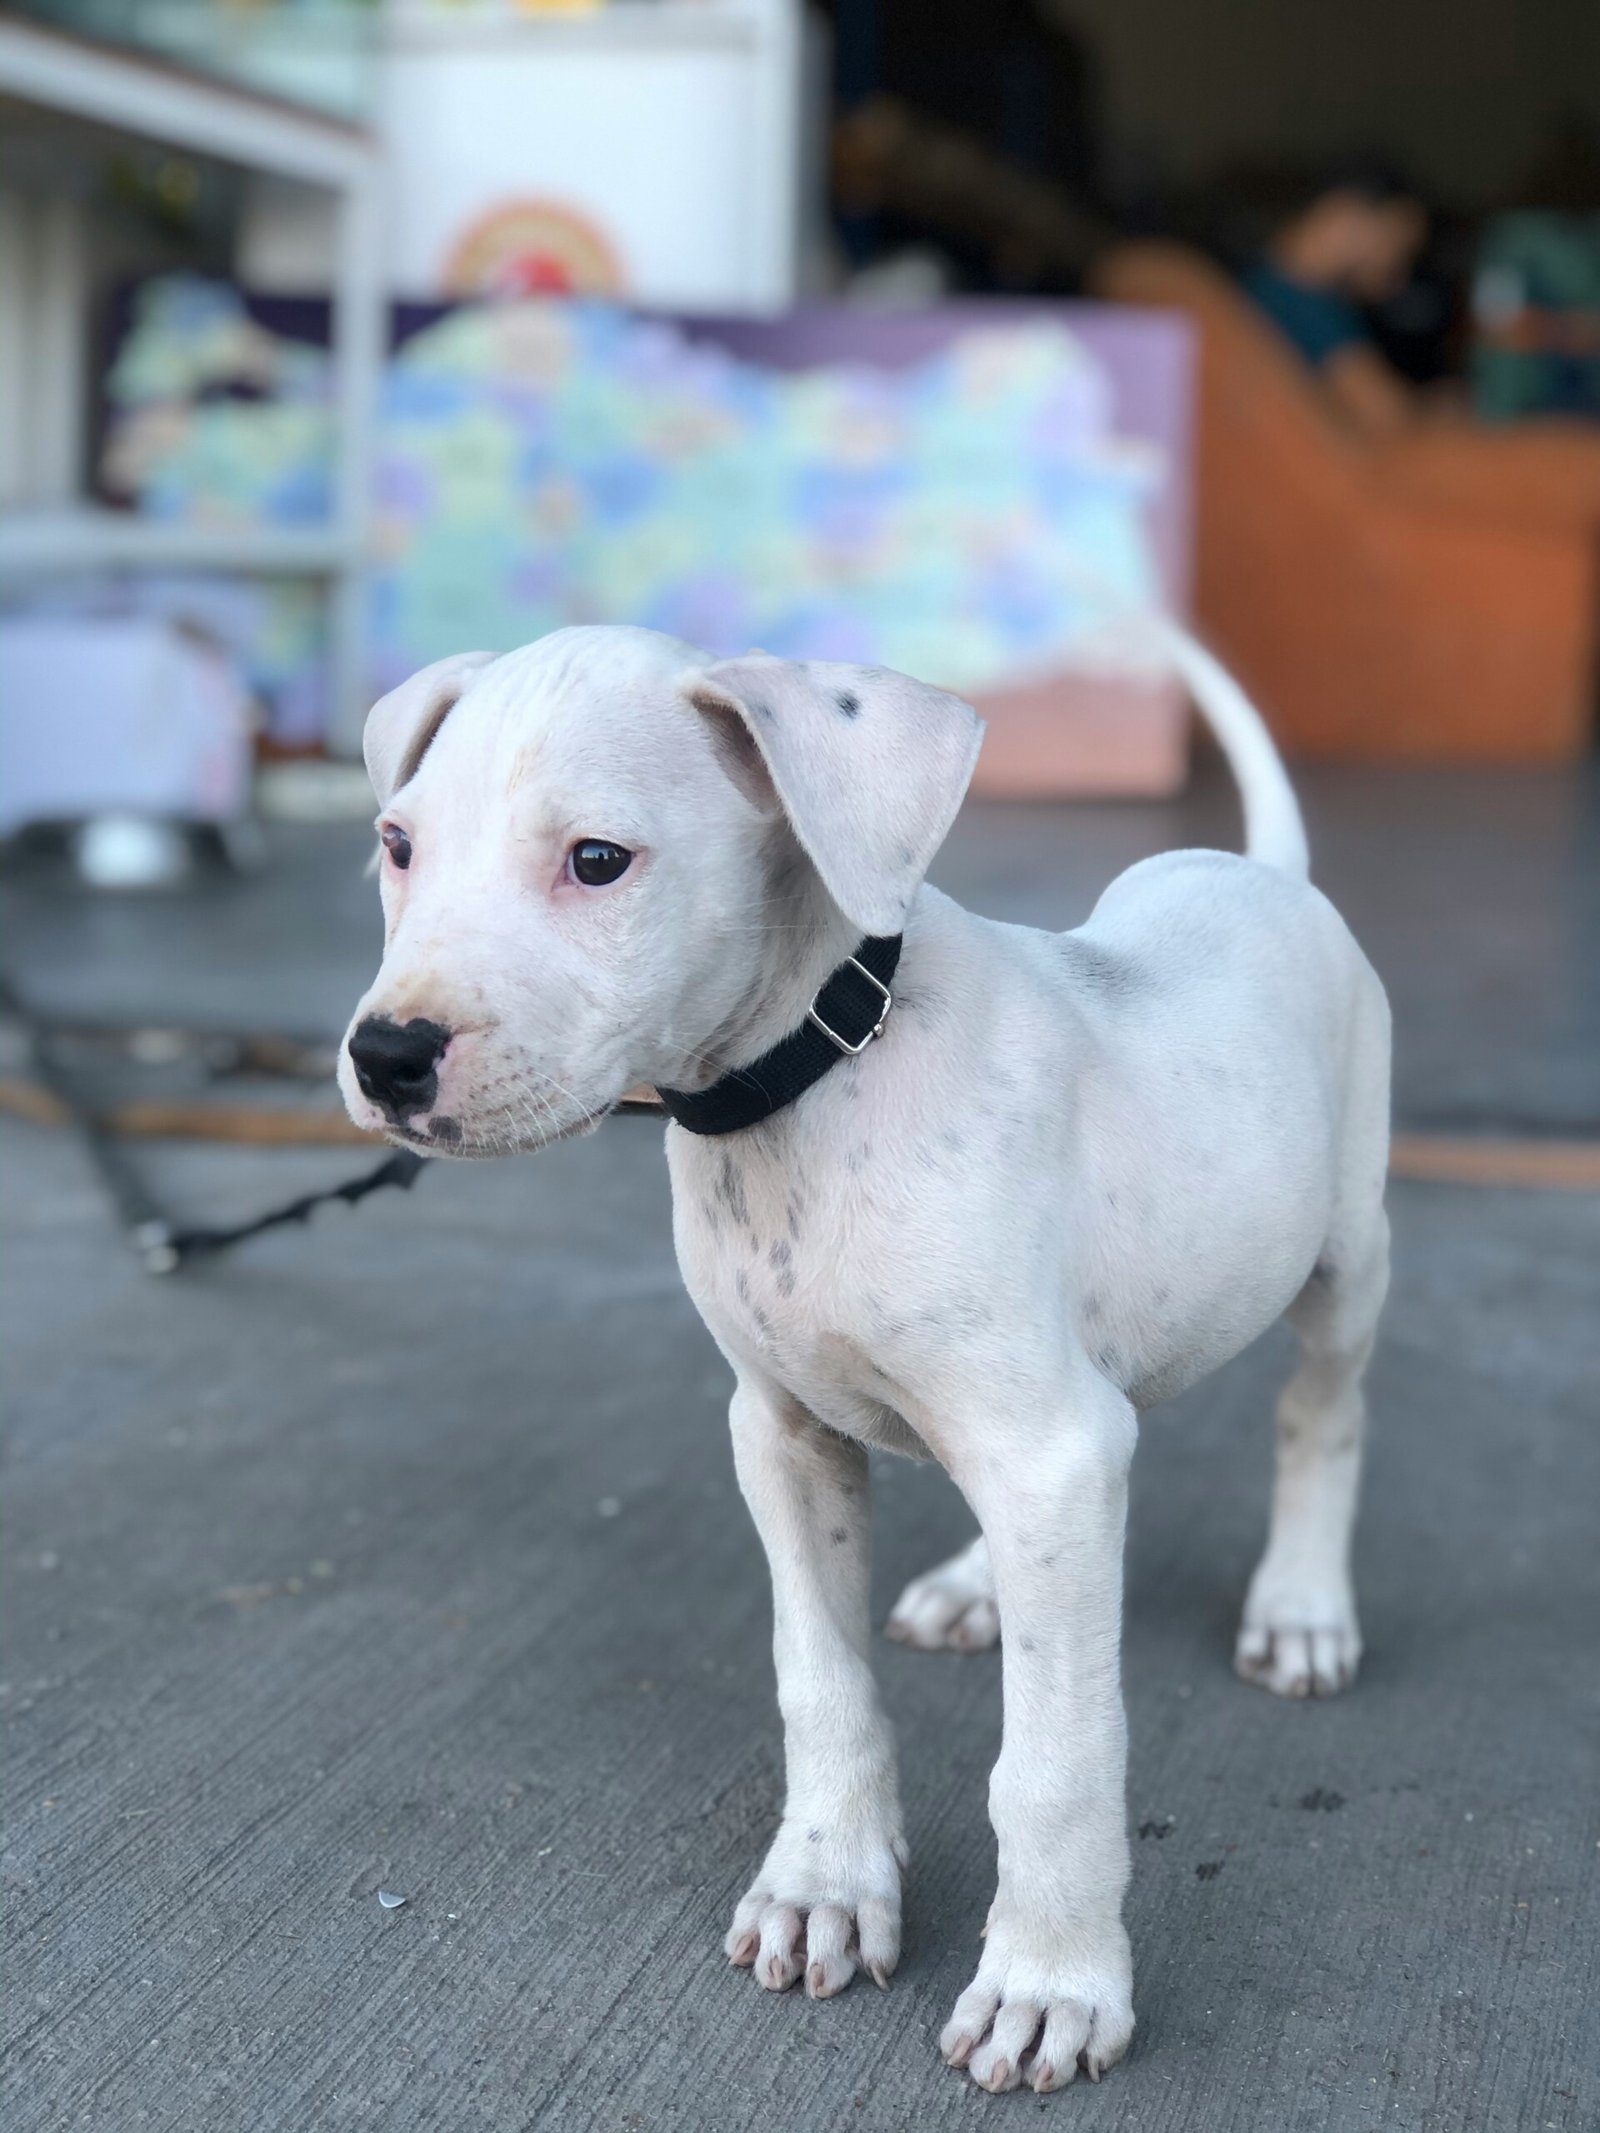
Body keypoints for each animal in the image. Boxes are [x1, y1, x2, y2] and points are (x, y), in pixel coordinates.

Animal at [339, 627, 1390, 2098]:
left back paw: (1299, 1605)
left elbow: (1053, 1759)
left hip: (1343, 1259)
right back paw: (976, 1588)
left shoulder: (1047, 1447)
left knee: (1319, 1416)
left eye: (597, 860)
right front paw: (827, 1884)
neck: (819, 1079)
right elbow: (818, 1677)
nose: (384, 1057)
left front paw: (1051, 1980)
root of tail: (1269, 877)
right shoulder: (788, 1431)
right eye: (398, 844)